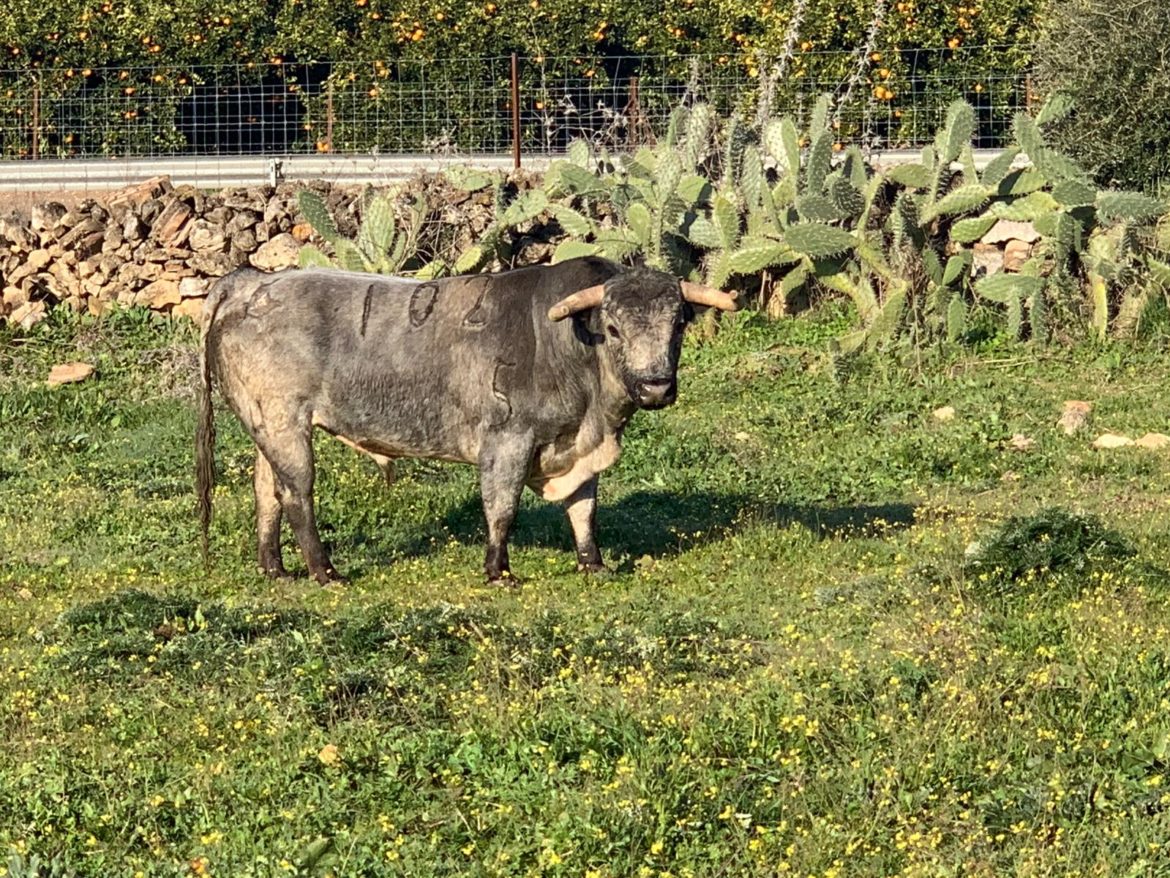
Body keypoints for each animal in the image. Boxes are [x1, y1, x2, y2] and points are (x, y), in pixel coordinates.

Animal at [196, 256, 734, 585]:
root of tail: (253, 282)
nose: (656, 387)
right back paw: (325, 571)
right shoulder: (508, 440)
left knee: (267, 491)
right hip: (285, 422)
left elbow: (584, 509)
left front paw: (593, 563)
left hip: (266, 426)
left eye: (678, 323)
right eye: (615, 328)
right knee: (297, 494)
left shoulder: (577, 446)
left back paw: (275, 567)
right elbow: (502, 508)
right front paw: (499, 570)